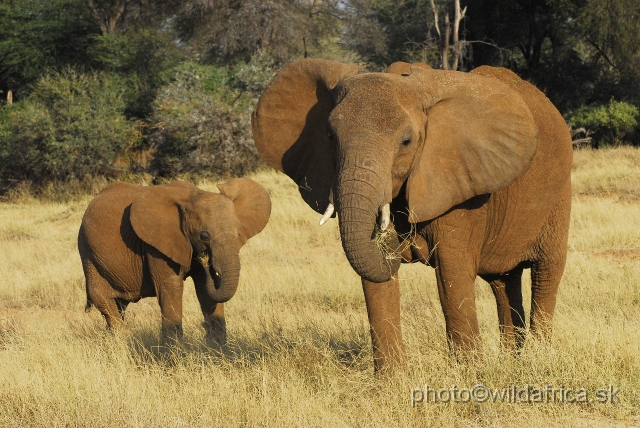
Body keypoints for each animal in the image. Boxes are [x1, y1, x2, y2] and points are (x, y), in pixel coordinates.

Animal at [79, 176, 272, 342]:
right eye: (204, 236)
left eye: (238, 233)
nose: (205, 260)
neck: (193, 196)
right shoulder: (155, 245)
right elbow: (171, 287)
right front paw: (175, 356)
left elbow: (205, 291)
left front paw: (218, 351)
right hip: (89, 255)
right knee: (104, 301)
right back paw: (125, 342)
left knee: (119, 306)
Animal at [252, 58, 572, 372]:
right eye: (330, 136)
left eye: (406, 141)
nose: (398, 238)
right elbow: (376, 283)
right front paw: (393, 380)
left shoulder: (458, 188)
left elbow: (452, 275)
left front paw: (469, 374)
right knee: (503, 280)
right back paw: (512, 360)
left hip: (559, 197)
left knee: (546, 273)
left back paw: (538, 359)